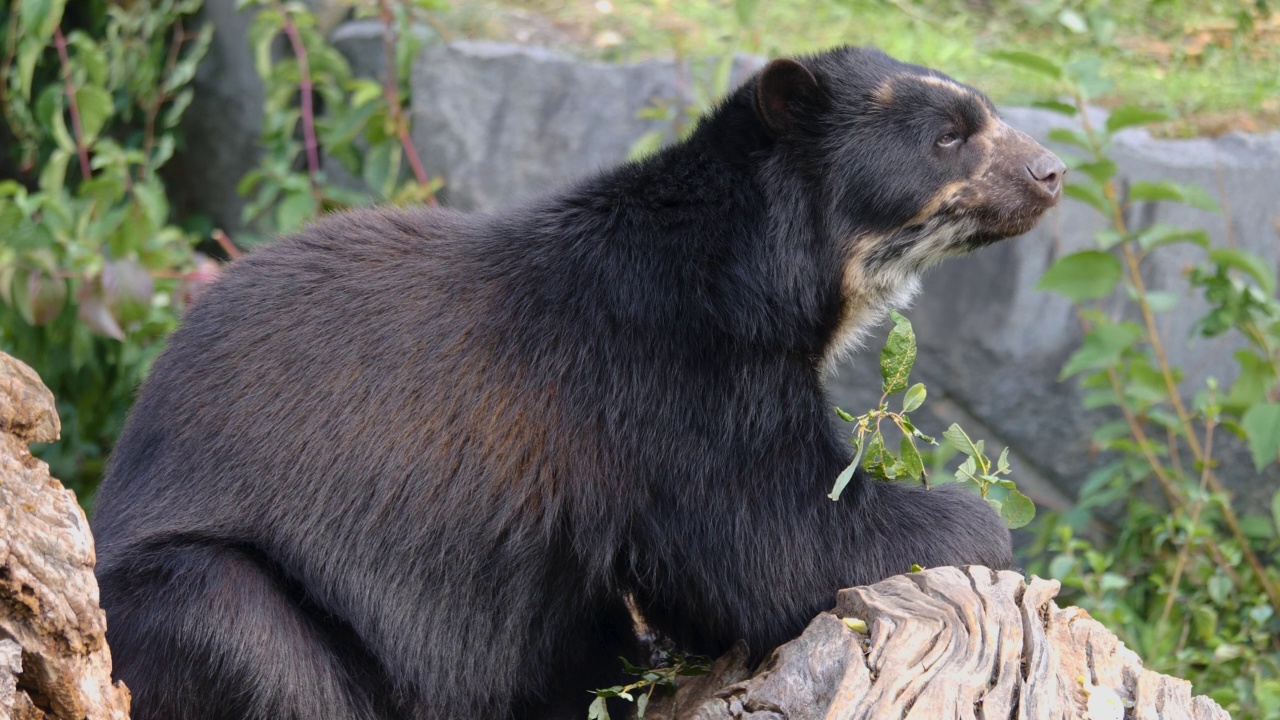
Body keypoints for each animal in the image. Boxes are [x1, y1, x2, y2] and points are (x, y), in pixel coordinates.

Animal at [94, 46, 1064, 717]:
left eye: (984, 115)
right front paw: (976, 522)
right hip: (174, 597)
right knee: (241, 629)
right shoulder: (676, 377)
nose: (1051, 172)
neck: (763, 269)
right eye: (949, 137)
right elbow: (776, 539)